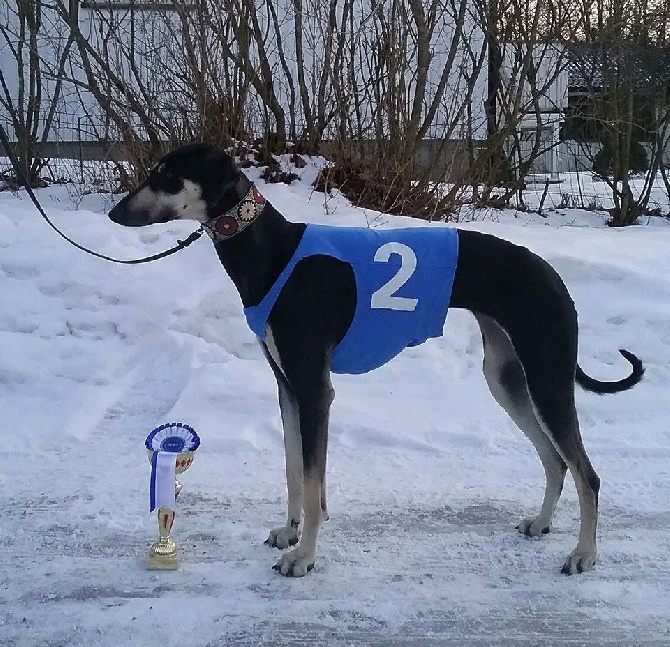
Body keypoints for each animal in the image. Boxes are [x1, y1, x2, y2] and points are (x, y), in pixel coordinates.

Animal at [109, 142, 644, 576]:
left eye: (166, 175)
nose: (115, 213)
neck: (271, 250)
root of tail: (552, 275)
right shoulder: (288, 386)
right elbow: (294, 470)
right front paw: (291, 531)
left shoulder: (314, 389)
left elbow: (310, 478)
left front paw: (304, 556)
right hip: (508, 379)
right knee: (555, 461)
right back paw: (542, 523)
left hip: (547, 378)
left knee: (586, 473)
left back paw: (585, 555)